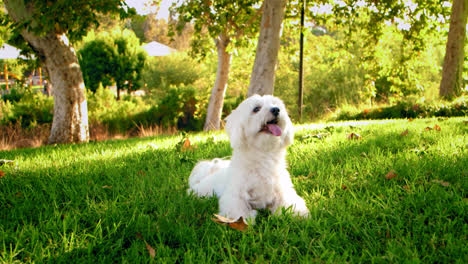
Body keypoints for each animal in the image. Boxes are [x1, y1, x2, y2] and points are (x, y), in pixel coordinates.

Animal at [188, 95, 308, 223]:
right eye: (256, 109)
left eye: (276, 105)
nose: (276, 110)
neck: (262, 156)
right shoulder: (235, 195)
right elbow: (237, 208)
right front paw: (244, 218)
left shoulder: (283, 191)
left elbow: (289, 203)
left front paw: (297, 214)